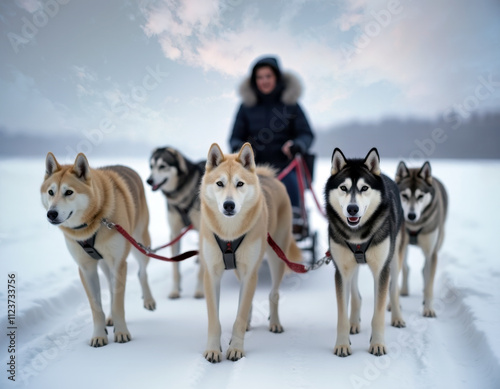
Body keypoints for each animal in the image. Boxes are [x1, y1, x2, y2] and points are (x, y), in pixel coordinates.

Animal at [41, 152, 156, 346]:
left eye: (69, 192)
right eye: (51, 192)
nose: (51, 214)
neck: (93, 223)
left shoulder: (119, 263)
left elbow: (118, 304)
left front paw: (122, 332)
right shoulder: (86, 268)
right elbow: (96, 307)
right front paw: (99, 335)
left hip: (139, 243)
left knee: (142, 273)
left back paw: (148, 300)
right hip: (104, 263)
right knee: (110, 286)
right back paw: (110, 318)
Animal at [146, 146, 205, 298]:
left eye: (162, 166)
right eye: (151, 166)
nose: (149, 180)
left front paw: (200, 290)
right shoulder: (175, 233)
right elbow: (175, 268)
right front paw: (175, 291)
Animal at [199, 144, 300, 362]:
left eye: (240, 184)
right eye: (219, 183)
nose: (229, 205)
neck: (229, 234)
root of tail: (268, 177)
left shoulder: (250, 272)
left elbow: (240, 314)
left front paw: (236, 348)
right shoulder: (212, 274)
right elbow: (215, 319)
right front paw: (213, 350)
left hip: (275, 259)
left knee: (273, 294)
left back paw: (275, 323)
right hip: (239, 269)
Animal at [324, 147, 406, 356]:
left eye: (364, 188)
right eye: (343, 188)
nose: (352, 209)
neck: (358, 236)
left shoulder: (381, 270)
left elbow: (378, 313)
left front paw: (377, 344)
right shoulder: (341, 270)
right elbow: (342, 313)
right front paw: (342, 344)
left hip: (395, 258)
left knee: (394, 290)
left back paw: (397, 317)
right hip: (352, 266)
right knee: (356, 295)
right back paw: (354, 322)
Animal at [394, 160, 450, 316]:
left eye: (420, 196)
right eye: (404, 195)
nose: (411, 215)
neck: (414, 226)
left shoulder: (432, 252)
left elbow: (429, 283)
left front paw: (429, 309)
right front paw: (393, 305)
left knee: (424, 271)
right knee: (406, 268)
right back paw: (404, 290)